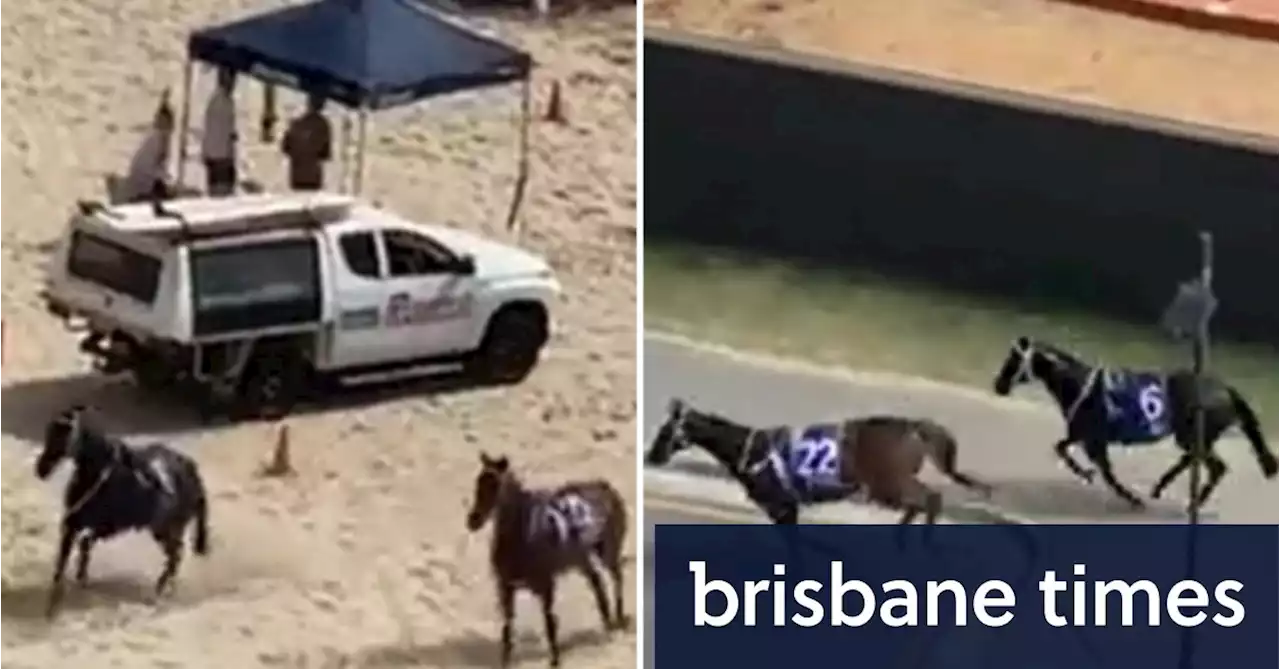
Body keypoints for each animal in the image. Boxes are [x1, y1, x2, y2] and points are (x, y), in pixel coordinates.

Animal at [35, 406, 212, 621]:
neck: (100, 472)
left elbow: (76, 550)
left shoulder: (101, 526)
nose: (41, 469)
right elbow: (74, 552)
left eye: (65, 434)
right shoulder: (79, 524)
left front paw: (57, 601)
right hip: (165, 529)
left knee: (175, 555)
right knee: (175, 555)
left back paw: (159, 592)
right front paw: (77, 581)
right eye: (49, 432)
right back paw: (166, 588)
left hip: (168, 529)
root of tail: (194, 476)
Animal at [468, 452, 632, 665]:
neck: (522, 537)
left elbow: (549, 621)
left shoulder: (546, 586)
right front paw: (506, 659)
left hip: (607, 552)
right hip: (581, 558)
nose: (473, 520)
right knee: (597, 582)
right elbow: (508, 625)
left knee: (617, 577)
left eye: (495, 485)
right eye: (478, 481)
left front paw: (555, 659)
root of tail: (606, 487)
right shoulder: (505, 587)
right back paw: (608, 622)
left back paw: (618, 619)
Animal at [645, 399, 993, 529]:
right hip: (888, 485)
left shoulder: (782, 507)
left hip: (888, 483)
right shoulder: (785, 508)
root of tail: (914, 427)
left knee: (929, 498)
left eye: (665, 431)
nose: (651, 455)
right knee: (922, 502)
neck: (749, 448)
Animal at [993, 337, 1274, 511]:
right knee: (1195, 459)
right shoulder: (1083, 435)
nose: (999, 385)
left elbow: (1106, 473)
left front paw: (1130, 497)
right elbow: (1062, 448)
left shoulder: (1094, 439)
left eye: (1014, 360)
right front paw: (1086, 473)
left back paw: (1190, 502)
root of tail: (1226, 389)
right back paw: (1161, 487)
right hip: (1191, 436)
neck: (1081, 384)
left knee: (1216, 466)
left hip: (1194, 434)